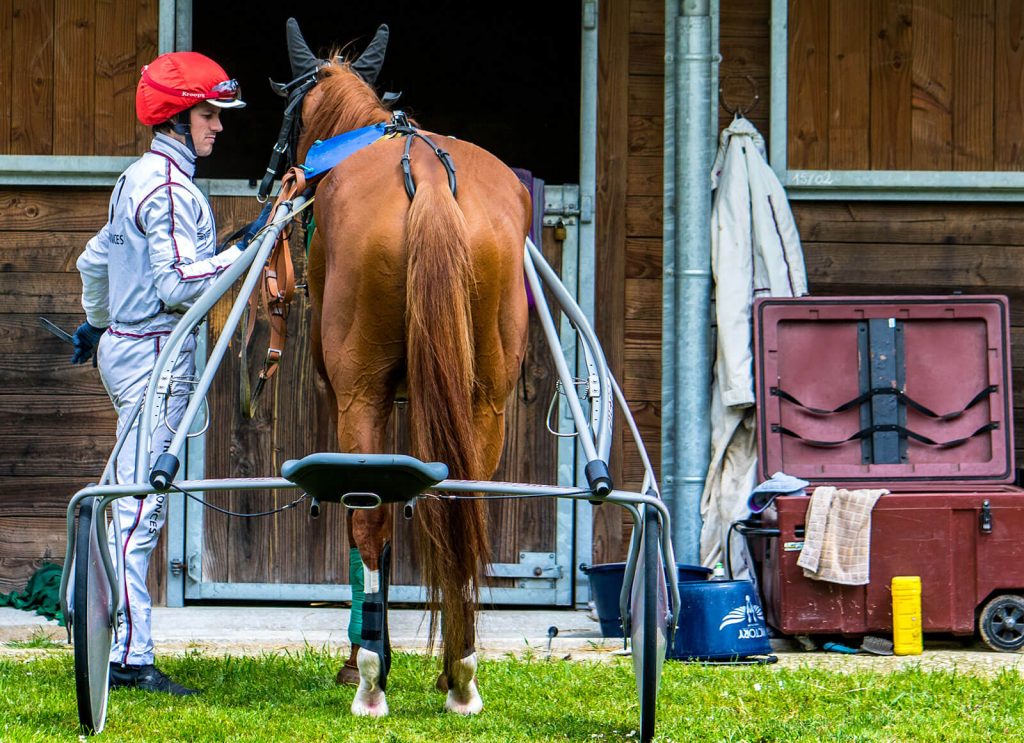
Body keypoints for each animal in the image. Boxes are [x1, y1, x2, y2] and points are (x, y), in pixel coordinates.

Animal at [284, 21, 532, 716]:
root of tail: (428, 179)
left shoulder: (349, 396)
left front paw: (361, 663)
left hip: (361, 395)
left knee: (369, 517)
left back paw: (370, 679)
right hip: (484, 400)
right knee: (464, 506)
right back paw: (460, 674)